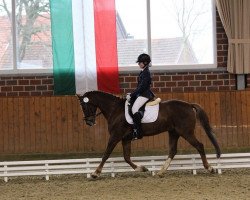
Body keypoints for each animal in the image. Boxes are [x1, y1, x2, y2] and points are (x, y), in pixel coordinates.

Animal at [77, 90, 221, 178]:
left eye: (84, 106)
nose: (89, 122)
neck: (115, 110)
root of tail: (189, 105)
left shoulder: (115, 136)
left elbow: (106, 155)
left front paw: (95, 173)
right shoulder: (125, 138)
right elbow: (126, 157)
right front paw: (142, 168)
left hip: (186, 132)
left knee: (199, 146)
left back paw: (210, 168)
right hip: (174, 132)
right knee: (173, 151)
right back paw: (161, 172)